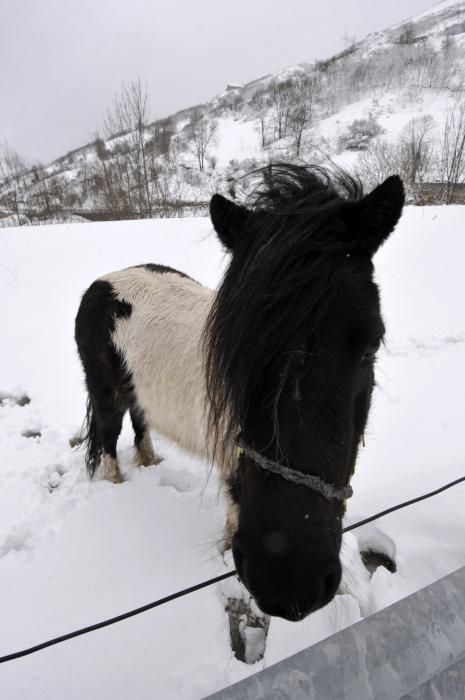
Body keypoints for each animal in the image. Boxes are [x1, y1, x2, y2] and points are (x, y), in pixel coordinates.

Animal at [75, 165, 402, 624]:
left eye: (372, 344)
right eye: (233, 346)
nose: (289, 581)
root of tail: (101, 284)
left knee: (141, 423)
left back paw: (151, 461)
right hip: (106, 393)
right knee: (107, 437)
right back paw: (117, 483)